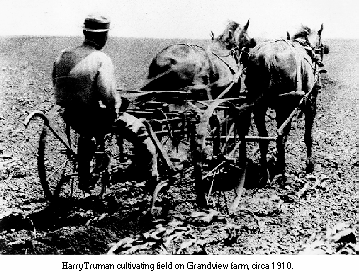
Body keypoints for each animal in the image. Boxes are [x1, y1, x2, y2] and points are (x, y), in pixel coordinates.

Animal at [243, 23, 328, 182]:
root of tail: (267, 57)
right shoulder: (310, 104)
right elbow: (308, 136)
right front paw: (310, 165)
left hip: (258, 105)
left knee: (264, 137)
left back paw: (265, 172)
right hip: (285, 105)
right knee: (281, 137)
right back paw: (282, 172)